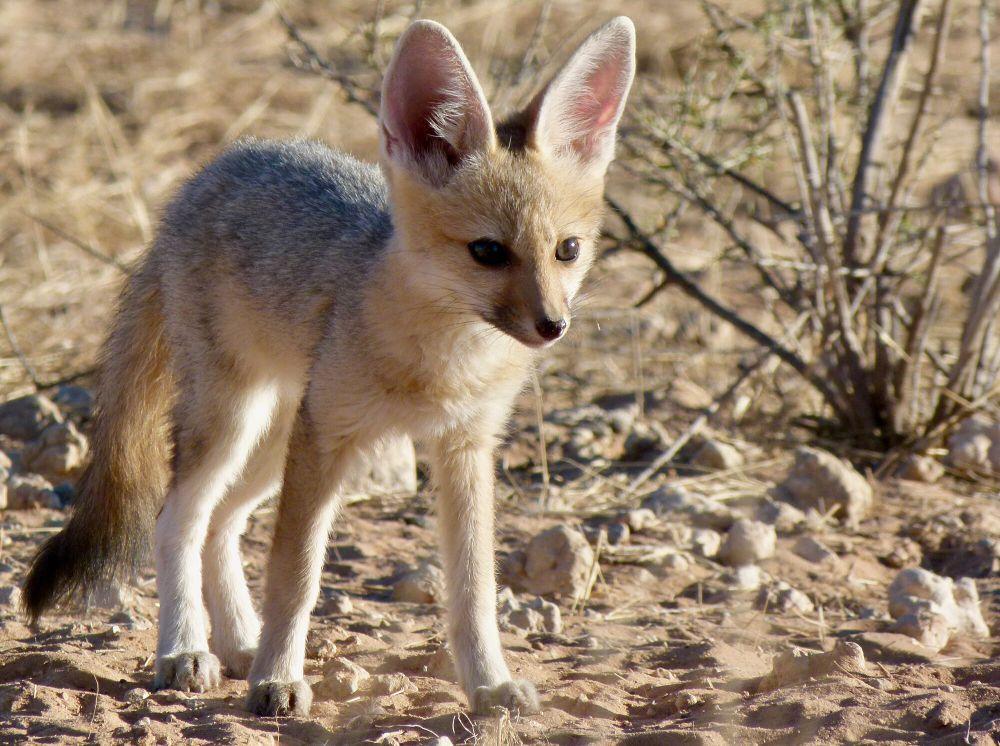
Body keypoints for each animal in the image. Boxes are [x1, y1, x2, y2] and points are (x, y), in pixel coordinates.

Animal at [21, 16, 632, 716]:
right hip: (237, 425)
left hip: (274, 440)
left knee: (224, 524)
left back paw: (239, 642)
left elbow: (475, 587)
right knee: (178, 519)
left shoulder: (464, 447)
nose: (552, 325)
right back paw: (186, 650)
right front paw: (278, 679)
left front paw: (489, 683)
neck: (443, 365)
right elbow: (296, 574)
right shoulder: (328, 440)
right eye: (487, 252)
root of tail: (211, 172)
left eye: (568, 250)